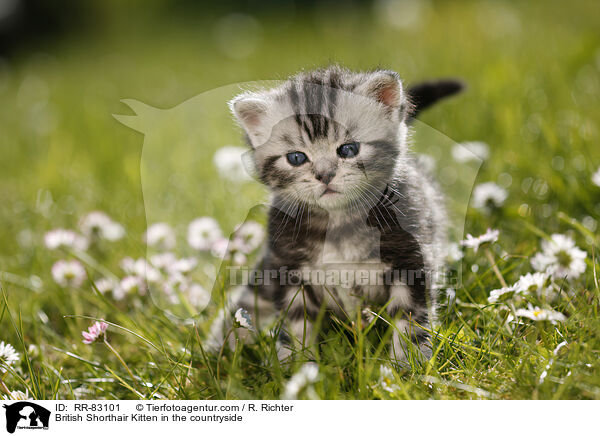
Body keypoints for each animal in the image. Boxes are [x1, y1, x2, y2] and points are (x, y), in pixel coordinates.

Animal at [213, 65, 462, 364]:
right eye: (296, 158)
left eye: (348, 149)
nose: (324, 175)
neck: (339, 224)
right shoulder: (287, 268)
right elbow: (296, 324)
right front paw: (299, 367)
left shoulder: (412, 258)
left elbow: (409, 320)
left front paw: (406, 365)